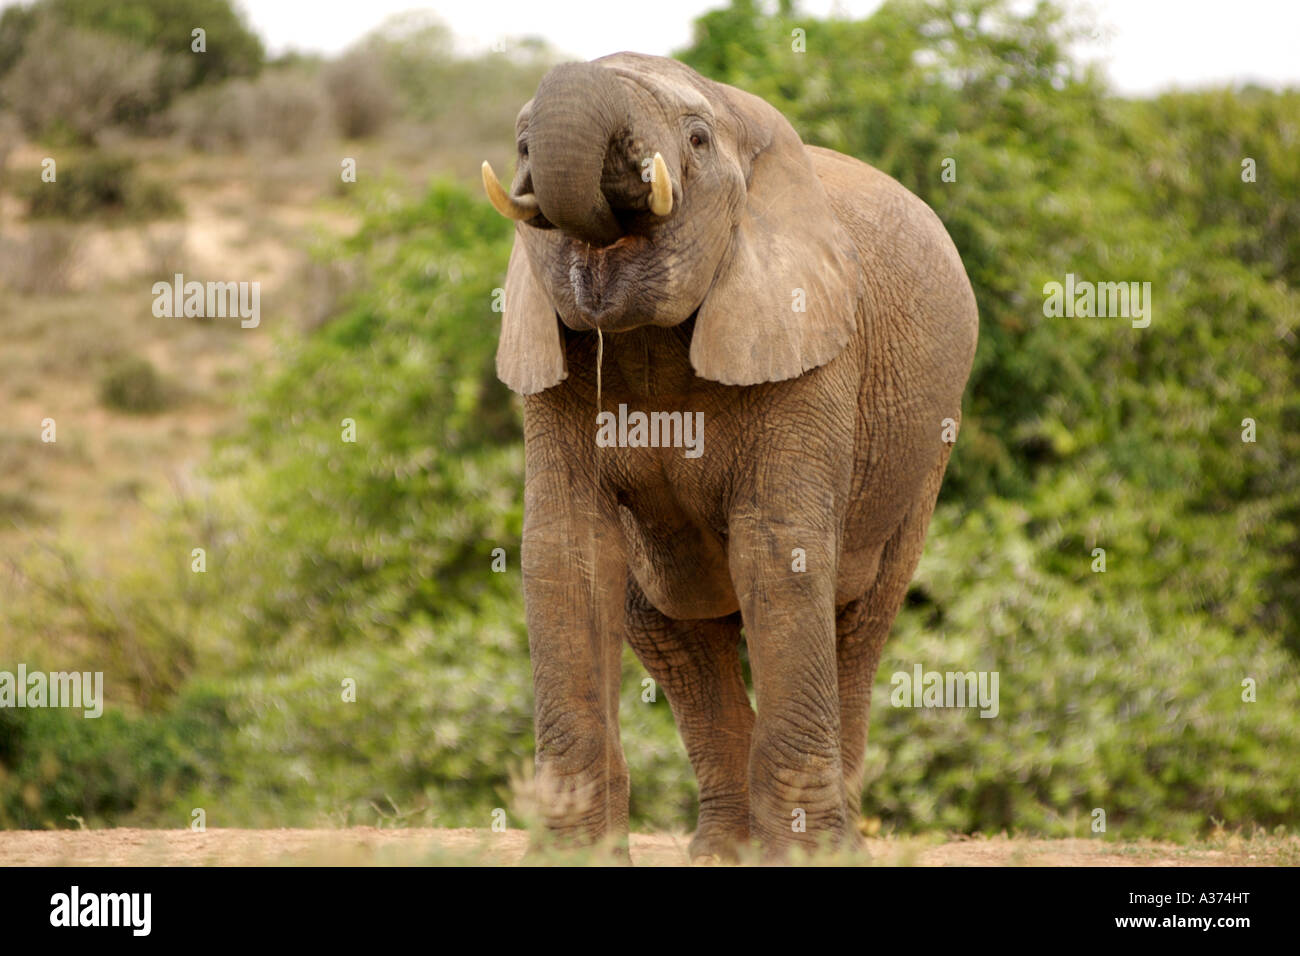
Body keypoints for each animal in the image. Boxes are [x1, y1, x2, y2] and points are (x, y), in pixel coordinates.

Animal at [481, 52, 978, 860]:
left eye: (698, 138)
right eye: (521, 139)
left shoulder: (812, 345)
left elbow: (779, 553)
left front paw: (808, 859)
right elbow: (565, 552)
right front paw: (570, 858)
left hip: (930, 441)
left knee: (860, 620)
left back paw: (836, 846)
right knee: (675, 637)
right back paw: (723, 850)